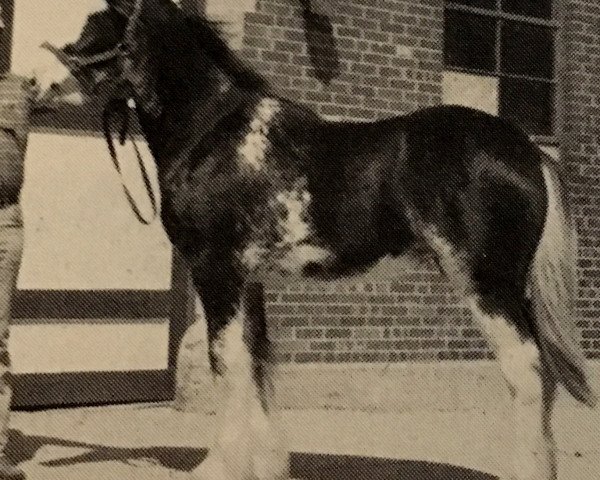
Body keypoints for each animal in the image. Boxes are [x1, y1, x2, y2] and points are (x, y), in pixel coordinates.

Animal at [43, 0, 596, 480]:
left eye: (98, 29)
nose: (41, 83)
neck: (214, 135)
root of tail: (529, 151)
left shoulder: (215, 270)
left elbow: (227, 362)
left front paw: (218, 467)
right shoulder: (248, 280)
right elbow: (255, 362)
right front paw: (267, 466)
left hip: (488, 286)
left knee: (526, 371)